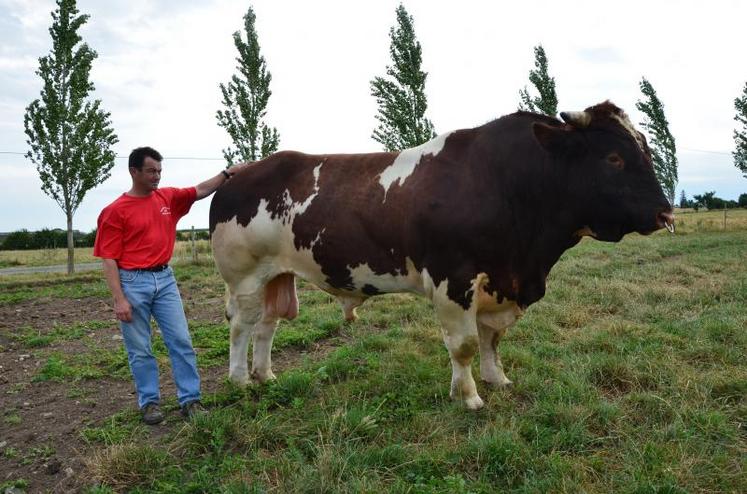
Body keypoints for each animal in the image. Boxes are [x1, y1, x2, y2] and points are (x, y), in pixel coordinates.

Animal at [209, 100, 672, 410]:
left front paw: (495, 378)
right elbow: (463, 344)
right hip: (244, 277)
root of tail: (240, 173)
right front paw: (468, 397)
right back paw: (240, 381)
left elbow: (491, 339)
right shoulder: (454, 280)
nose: (665, 213)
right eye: (613, 157)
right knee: (242, 326)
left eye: (646, 150)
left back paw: (266, 375)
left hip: (276, 275)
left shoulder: (499, 283)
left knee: (267, 325)